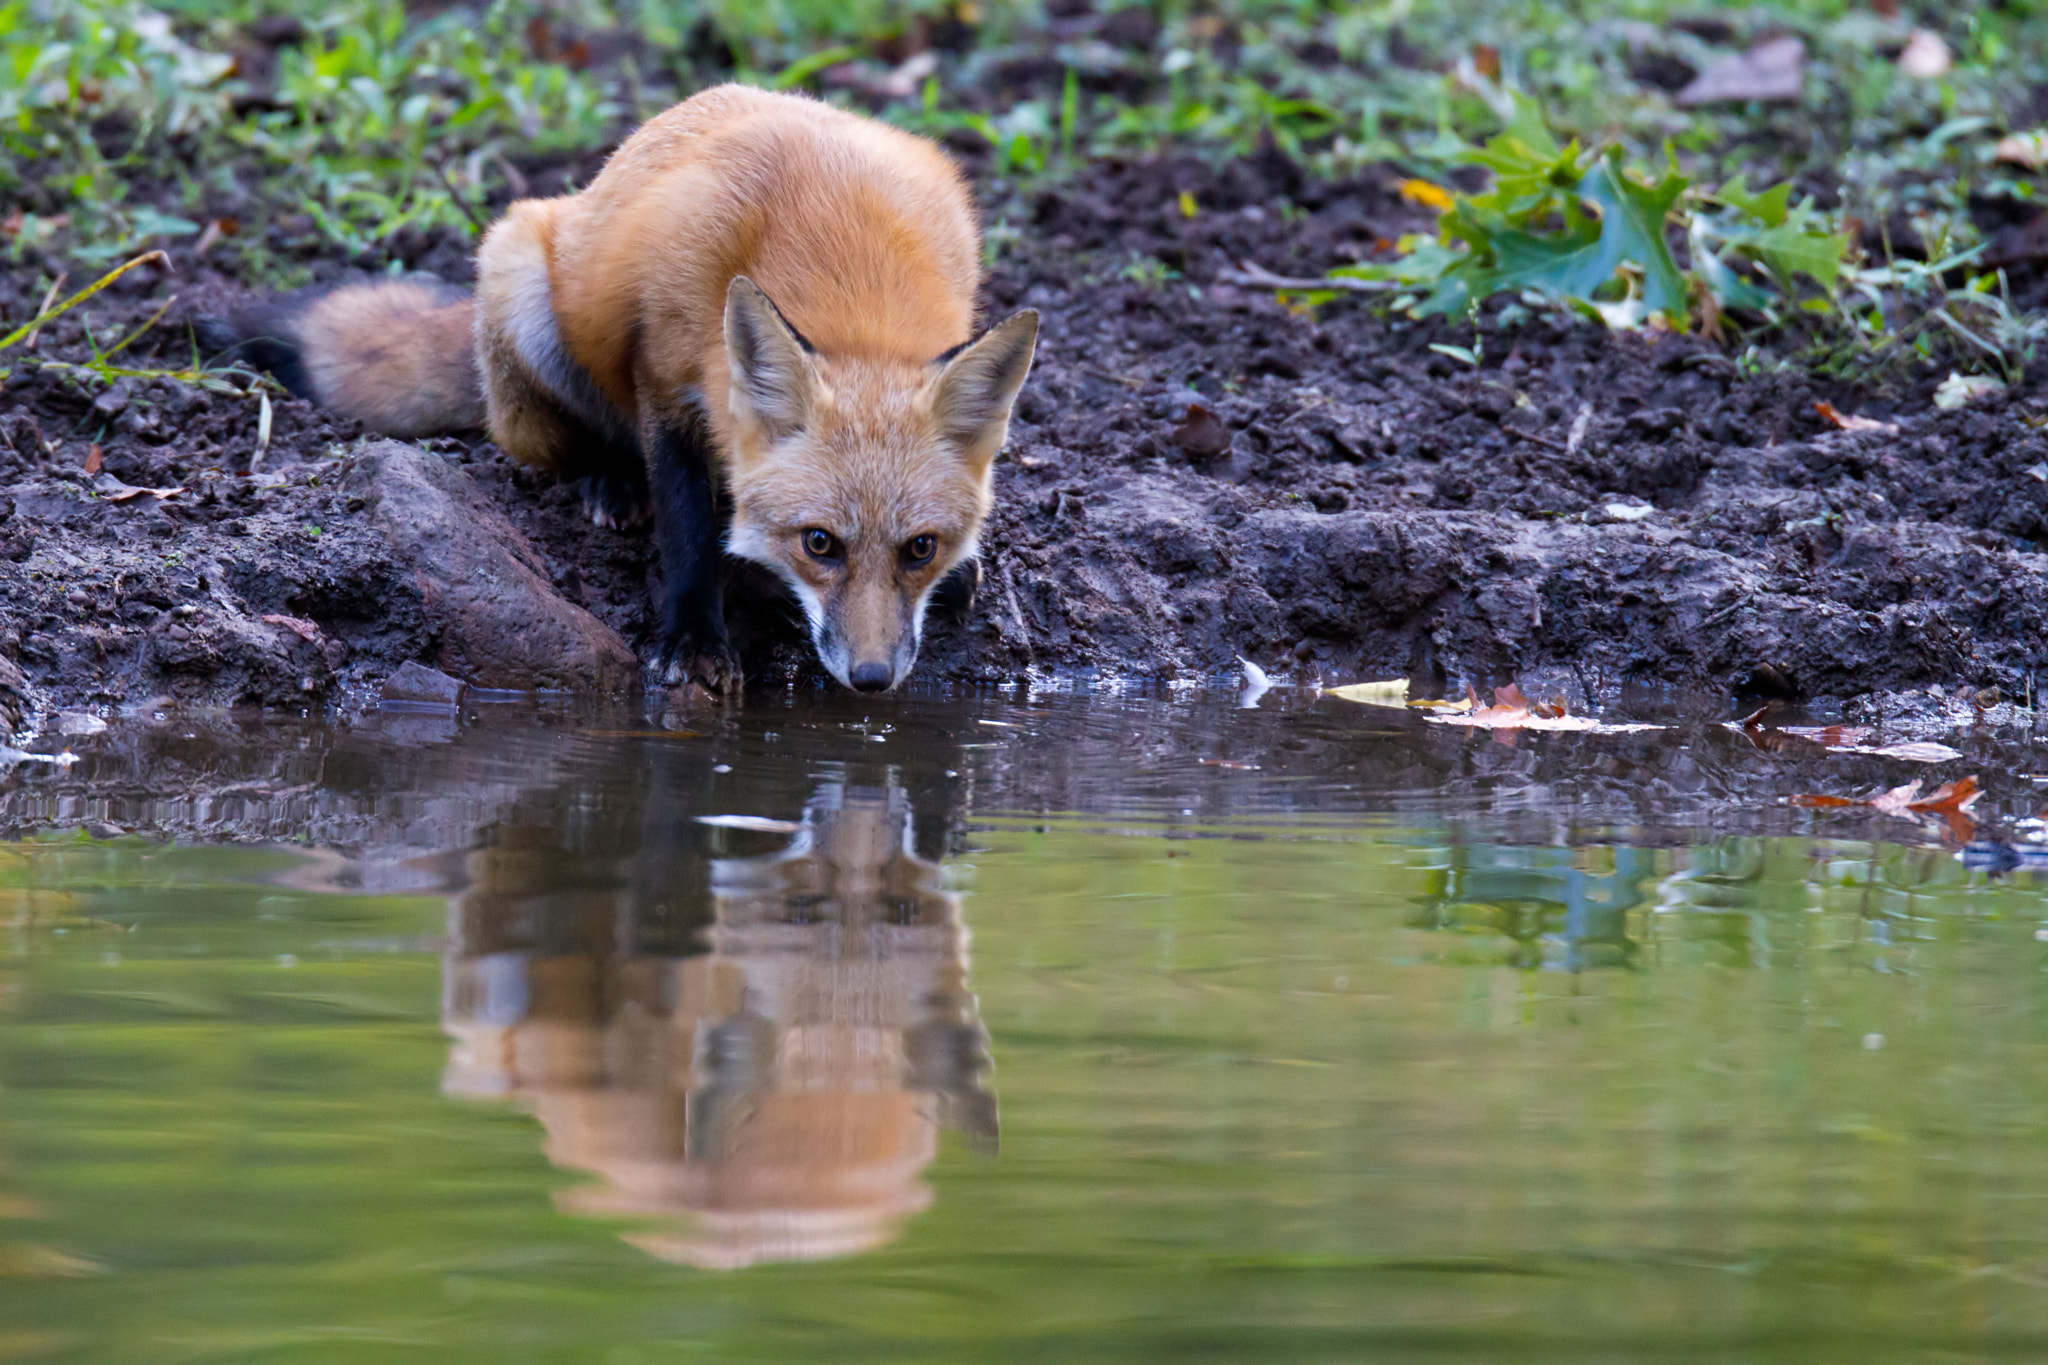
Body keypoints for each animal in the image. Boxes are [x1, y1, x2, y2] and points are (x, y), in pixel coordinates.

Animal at [207, 87, 1040, 695]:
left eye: (919, 548)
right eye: (819, 544)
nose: (870, 679)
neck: (842, 253)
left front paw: (957, 573)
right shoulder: (664, 377)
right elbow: (689, 525)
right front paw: (694, 637)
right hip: (524, 296)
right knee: (575, 445)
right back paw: (610, 483)